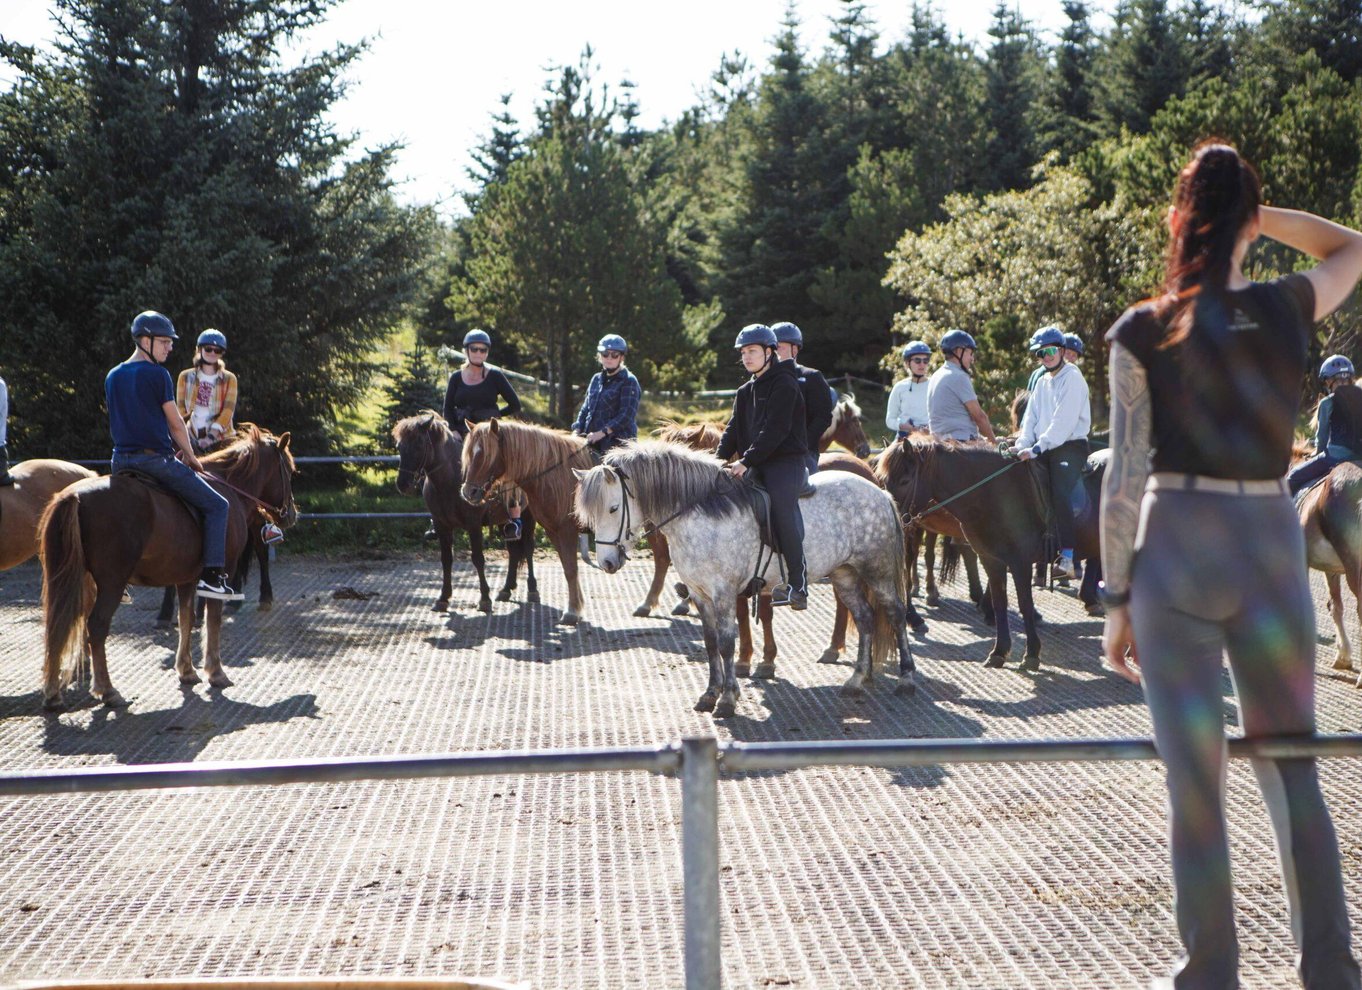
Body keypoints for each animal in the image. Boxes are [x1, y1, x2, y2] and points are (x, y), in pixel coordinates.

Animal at [41, 424, 296, 713]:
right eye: (289, 470)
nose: (291, 514)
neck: (229, 489)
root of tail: (74, 496)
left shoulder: (186, 578)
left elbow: (187, 619)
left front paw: (186, 670)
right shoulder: (222, 573)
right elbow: (213, 620)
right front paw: (216, 672)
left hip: (74, 580)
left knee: (58, 626)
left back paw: (53, 693)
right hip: (111, 583)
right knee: (95, 626)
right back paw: (107, 690)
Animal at [392, 408, 533, 612]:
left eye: (419, 444)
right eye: (399, 446)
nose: (403, 484)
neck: (450, 482)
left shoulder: (473, 525)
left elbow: (478, 558)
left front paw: (484, 598)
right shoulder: (442, 525)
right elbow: (446, 559)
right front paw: (443, 597)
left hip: (529, 516)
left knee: (528, 548)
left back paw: (532, 589)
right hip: (504, 521)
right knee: (513, 550)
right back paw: (506, 588)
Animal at [574, 443, 915, 719]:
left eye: (613, 508)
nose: (607, 562)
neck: (699, 515)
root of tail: (879, 491)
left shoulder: (723, 593)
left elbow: (727, 643)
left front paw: (727, 699)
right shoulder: (700, 595)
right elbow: (710, 643)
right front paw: (710, 694)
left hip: (878, 571)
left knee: (896, 614)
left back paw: (906, 678)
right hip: (845, 574)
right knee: (866, 617)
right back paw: (857, 680)